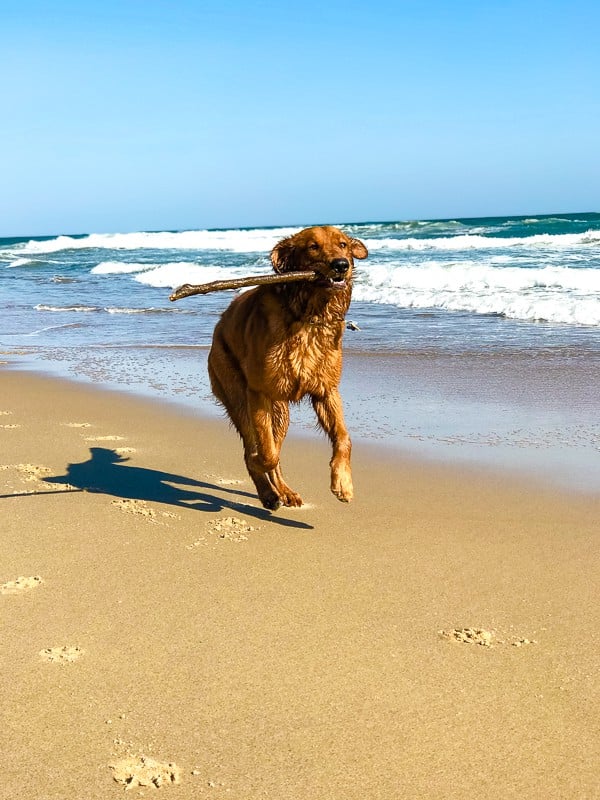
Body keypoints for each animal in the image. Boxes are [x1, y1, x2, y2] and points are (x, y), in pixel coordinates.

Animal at [211, 225, 370, 512]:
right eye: (313, 247)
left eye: (343, 244)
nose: (341, 265)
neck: (309, 314)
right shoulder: (258, 393)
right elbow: (266, 453)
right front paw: (259, 464)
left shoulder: (327, 390)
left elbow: (344, 437)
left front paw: (343, 483)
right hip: (236, 394)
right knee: (253, 446)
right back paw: (268, 493)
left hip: (281, 411)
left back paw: (283, 492)